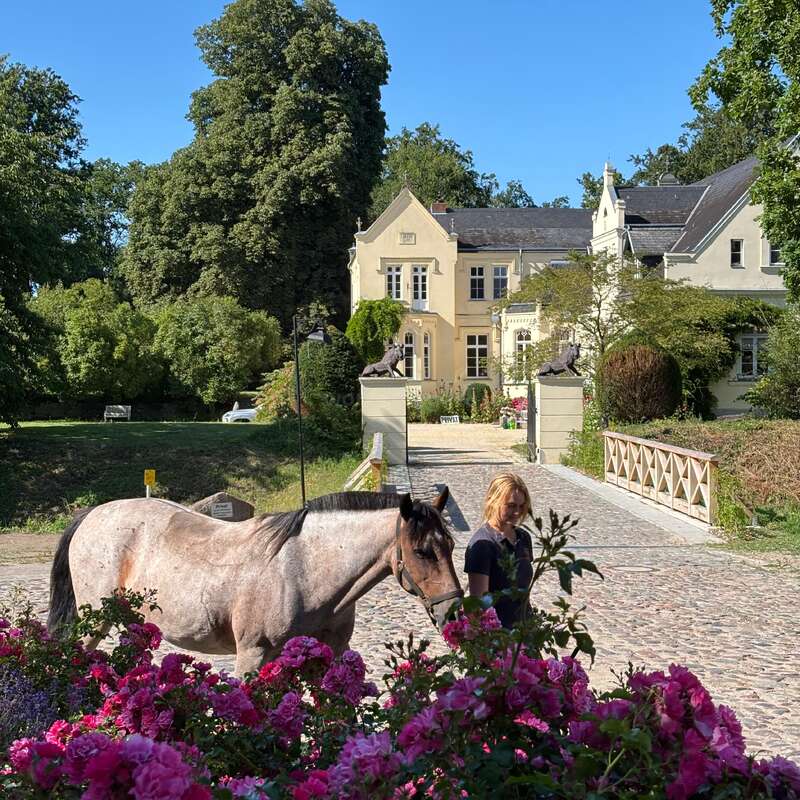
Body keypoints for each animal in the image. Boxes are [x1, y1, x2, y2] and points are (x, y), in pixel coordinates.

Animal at [47, 489, 463, 676]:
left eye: (451, 545)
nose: (454, 612)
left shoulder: (328, 653)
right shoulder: (252, 654)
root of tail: (91, 515)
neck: (304, 569)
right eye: (423, 551)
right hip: (94, 622)